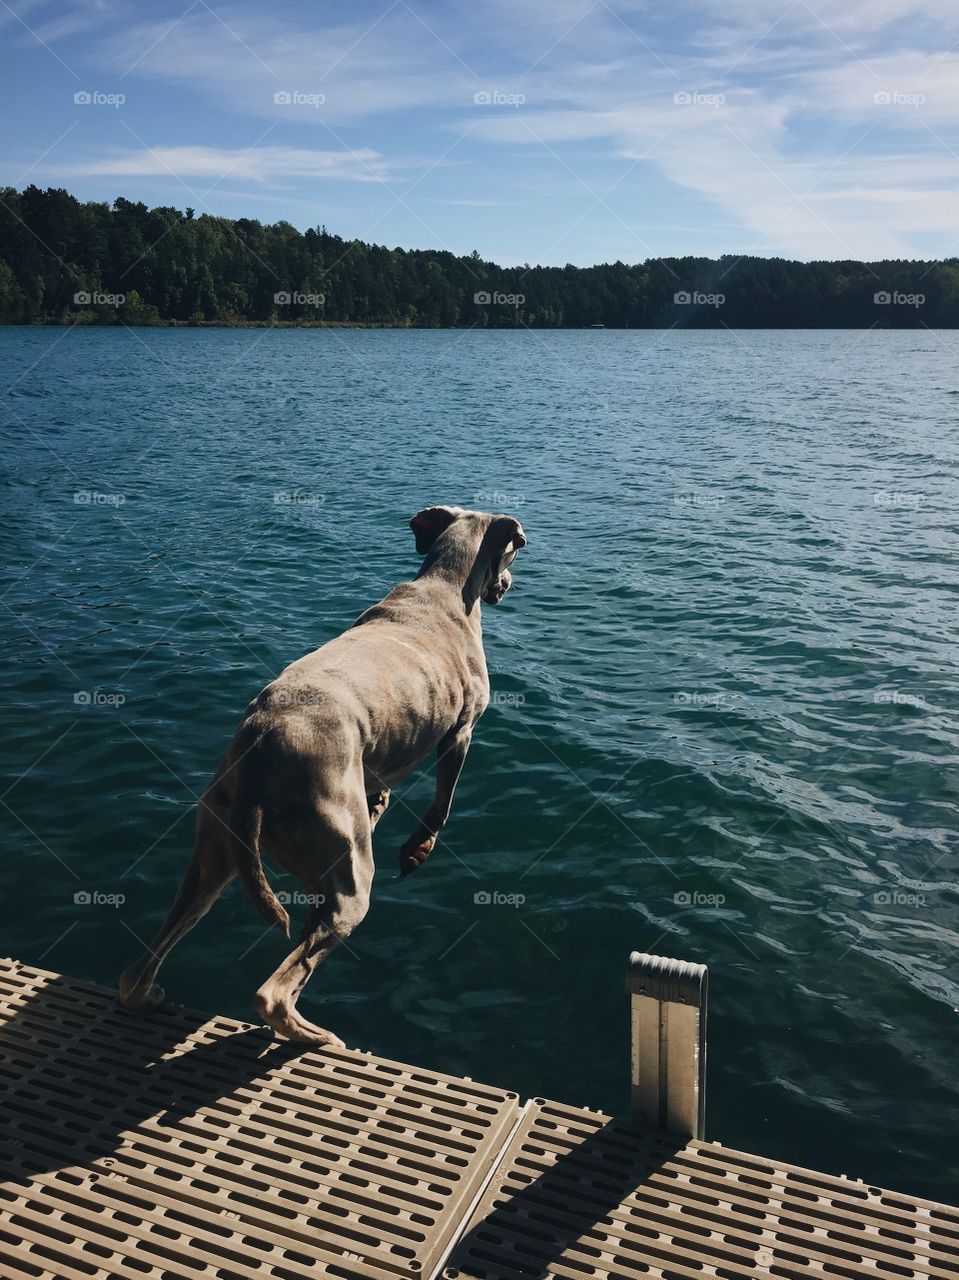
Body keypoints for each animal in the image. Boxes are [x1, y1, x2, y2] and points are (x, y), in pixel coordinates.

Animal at [119, 504, 527, 1044]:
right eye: (514, 549)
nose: (507, 585)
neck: (443, 587)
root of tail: (259, 758)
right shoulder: (461, 731)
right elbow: (443, 803)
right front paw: (417, 849)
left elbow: (382, 793)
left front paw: (381, 810)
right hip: (347, 879)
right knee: (275, 990)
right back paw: (314, 1036)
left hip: (215, 854)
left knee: (138, 970)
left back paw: (151, 996)